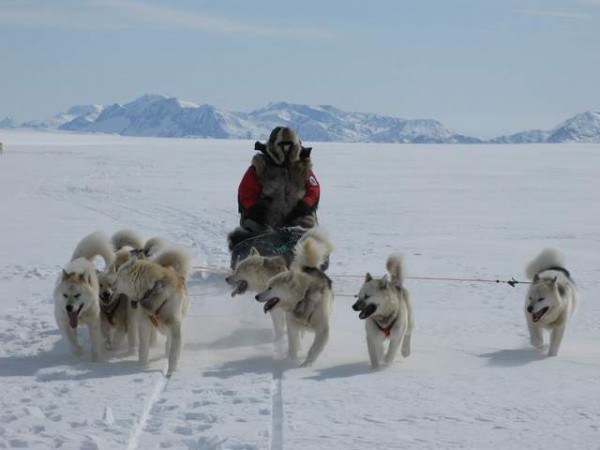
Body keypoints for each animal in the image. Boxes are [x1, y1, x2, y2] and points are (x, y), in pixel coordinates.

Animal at [54, 232, 115, 362]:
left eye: (77, 295)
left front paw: (96, 360)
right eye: (65, 295)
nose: (69, 307)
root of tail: (81, 259)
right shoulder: (64, 323)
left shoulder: (94, 323)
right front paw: (79, 353)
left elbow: (95, 342)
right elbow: (71, 341)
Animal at [114, 246, 192, 376]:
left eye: (119, 274)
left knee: (169, 340)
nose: (110, 284)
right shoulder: (144, 324)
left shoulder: (175, 326)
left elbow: (174, 353)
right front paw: (142, 366)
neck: (152, 290)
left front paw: (171, 372)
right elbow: (143, 348)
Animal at [255, 234, 336, 368]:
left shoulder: (323, 331)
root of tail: (311, 268)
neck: (303, 298)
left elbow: (314, 349)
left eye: (270, 288)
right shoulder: (292, 327)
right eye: (267, 286)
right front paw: (288, 361)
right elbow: (292, 346)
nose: (256, 297)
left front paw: (307, 365)